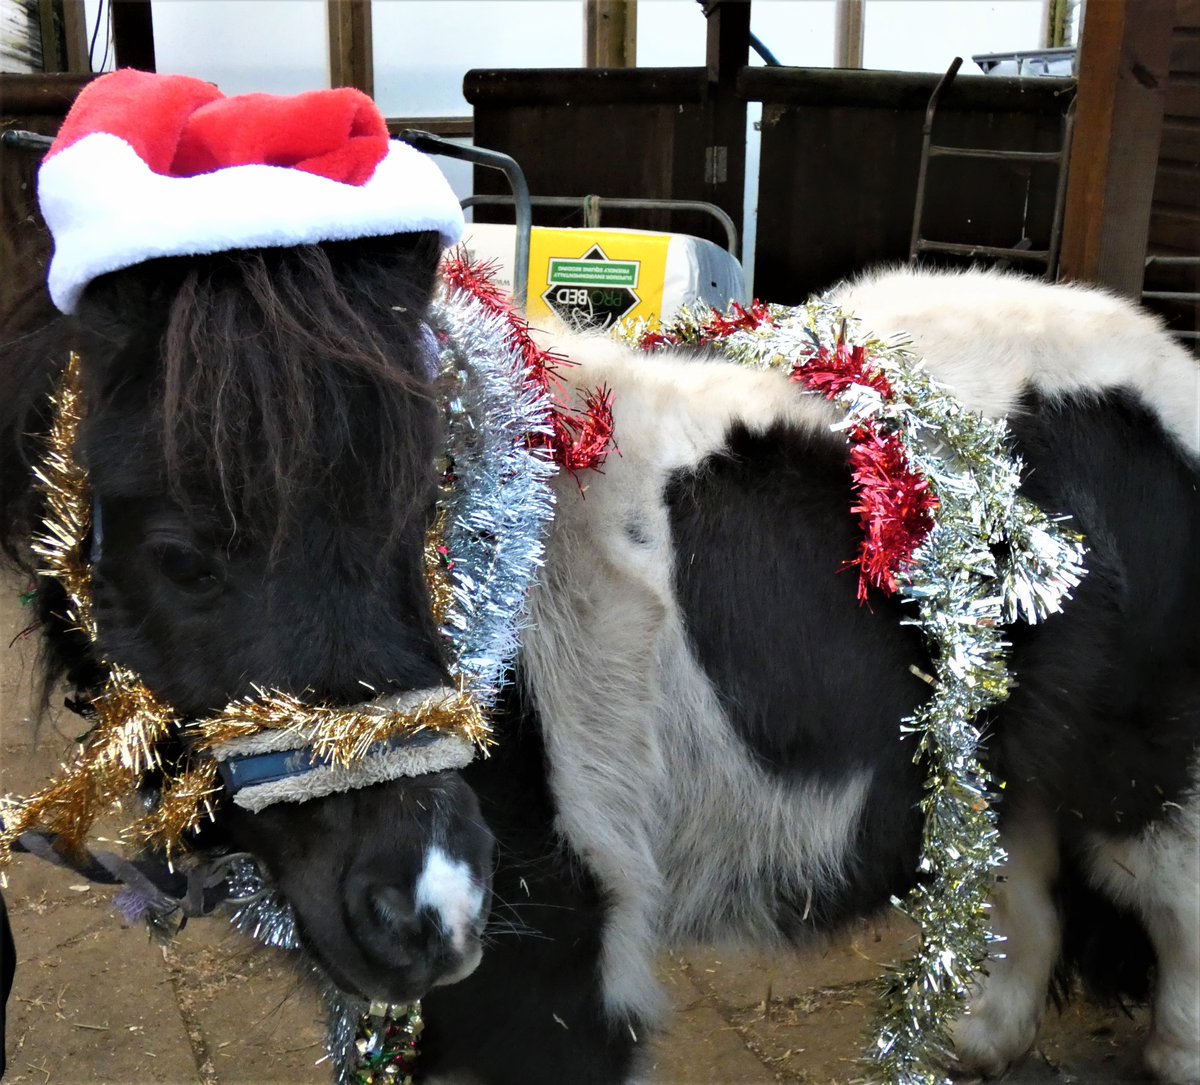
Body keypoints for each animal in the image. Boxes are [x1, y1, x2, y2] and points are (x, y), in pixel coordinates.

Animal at [1, 234, 1197, 1085]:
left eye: (422, 510)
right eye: (181, 557)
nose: (430, 913)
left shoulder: (557, 978)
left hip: (1144, 782)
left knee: (1163, 901)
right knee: (1025, 872)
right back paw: (981, 1038)